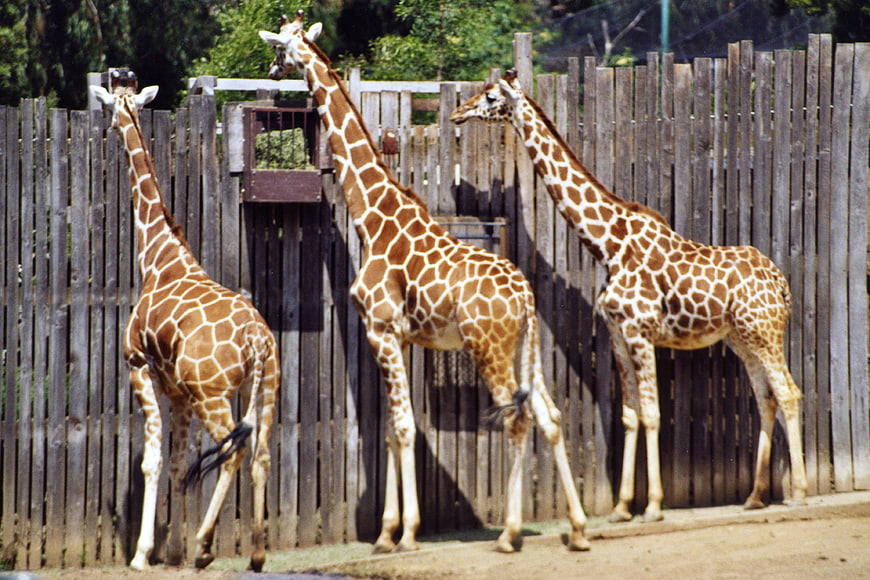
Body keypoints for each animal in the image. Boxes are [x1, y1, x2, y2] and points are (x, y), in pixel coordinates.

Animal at [89, 69, 280, 571]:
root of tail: (258, 340)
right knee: (261, 453)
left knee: (233, 452)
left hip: (213, 395)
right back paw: (255, 554)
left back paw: (206, 547)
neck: (159, 258)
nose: (109, 129)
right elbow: (177, 463)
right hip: (265, 390)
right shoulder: (178, 391)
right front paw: (169, 550)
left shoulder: (139, 366)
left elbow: (152, 461)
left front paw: (143, 554)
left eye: (109, 110)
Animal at [258, 22, 589, 553]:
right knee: (549, 413)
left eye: (282, 45)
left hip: (487, 348)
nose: (271, 71)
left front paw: (403, 533)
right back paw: (577, 530)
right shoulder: (404, 338)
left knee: (516, 417)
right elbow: (393, 431)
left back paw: (509, 534)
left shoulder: (379, 329)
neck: (372, 219)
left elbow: (403, 427)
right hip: (525, 348)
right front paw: (388, 532)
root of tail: (524, 297)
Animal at [450, 70, 808, 523]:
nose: (457, 114)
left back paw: (799, 492)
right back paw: (755, 496)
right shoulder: (618, 335)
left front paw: (653, 506)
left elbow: (653, 414)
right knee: (766, 397)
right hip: (741, 338)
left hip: (765, 331)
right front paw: (622, 507)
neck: (608, 245)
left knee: (789, 392)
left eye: (491, 97)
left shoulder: (641, 332)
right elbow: (630, 416)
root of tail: (782, 284)